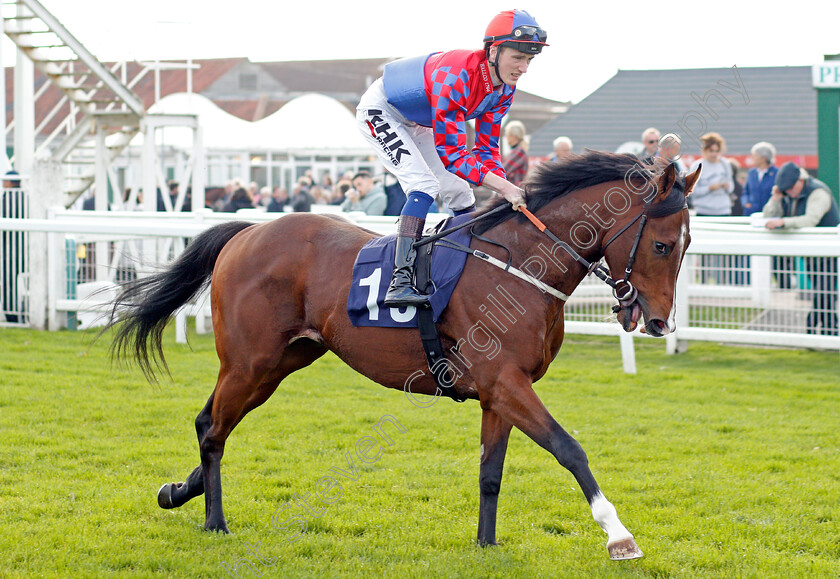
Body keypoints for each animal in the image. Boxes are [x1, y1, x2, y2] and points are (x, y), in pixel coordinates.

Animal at [111, 152, 704, 560]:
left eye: (688, 245)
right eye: (661, 244)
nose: (658, 322)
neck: (520, 266)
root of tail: (249, 231)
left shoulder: (498, 392)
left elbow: (491, 472)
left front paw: (486, 544)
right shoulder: (506, 381)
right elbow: (570, 448)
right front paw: (619, 536)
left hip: (281, 362)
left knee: (209, 420)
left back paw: (177, 492)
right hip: (250, 361)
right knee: (213, 428)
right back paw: (215, 521)